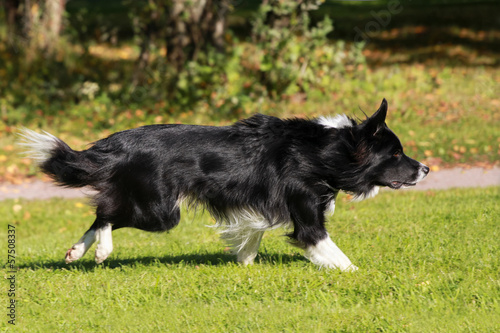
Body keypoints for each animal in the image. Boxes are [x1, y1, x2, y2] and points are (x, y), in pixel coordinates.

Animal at [21, 98, 430, 270]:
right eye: (396, 154)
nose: (426, 169)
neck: (325, 152)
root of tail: (117, 142)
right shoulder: (307, 217)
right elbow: (335, 254)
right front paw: (360, 276)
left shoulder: (259, 207)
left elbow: (252, 236)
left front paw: (245, 265)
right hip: (161, 211)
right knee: (106, 213)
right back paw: (102, 250)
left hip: (149, 203)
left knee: (102, 210)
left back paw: (76, 252)